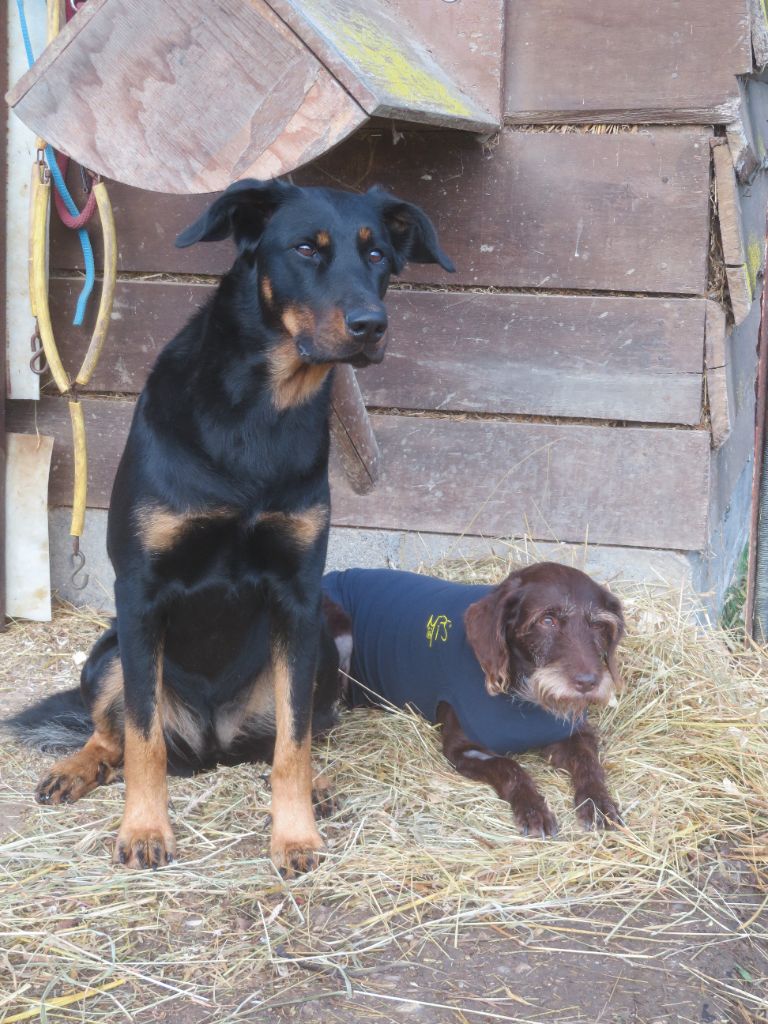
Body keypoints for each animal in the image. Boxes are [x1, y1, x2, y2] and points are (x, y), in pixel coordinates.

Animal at [9, 176, 454, 872]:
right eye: (305, 248)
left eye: (378, 253)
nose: (371, 326)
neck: (261, 409)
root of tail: (212, 744)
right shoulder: (140, 594)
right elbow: (142, 739)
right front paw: (144, 829)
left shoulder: (298, 596)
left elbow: (293, 744)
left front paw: (295, 833)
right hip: (108, 652)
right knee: (111, 734)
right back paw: (76, 767)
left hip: (322, 645)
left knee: (291, 736)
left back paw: (317, 782)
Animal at [321, 565, 626, 835]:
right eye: (547, 620)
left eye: (598, 625)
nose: (588, 683)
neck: (524, 694)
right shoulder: (463, 750)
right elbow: (509, 767)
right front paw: (532, 809)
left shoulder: (574, 734)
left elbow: (589, 763)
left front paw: (599, 802)